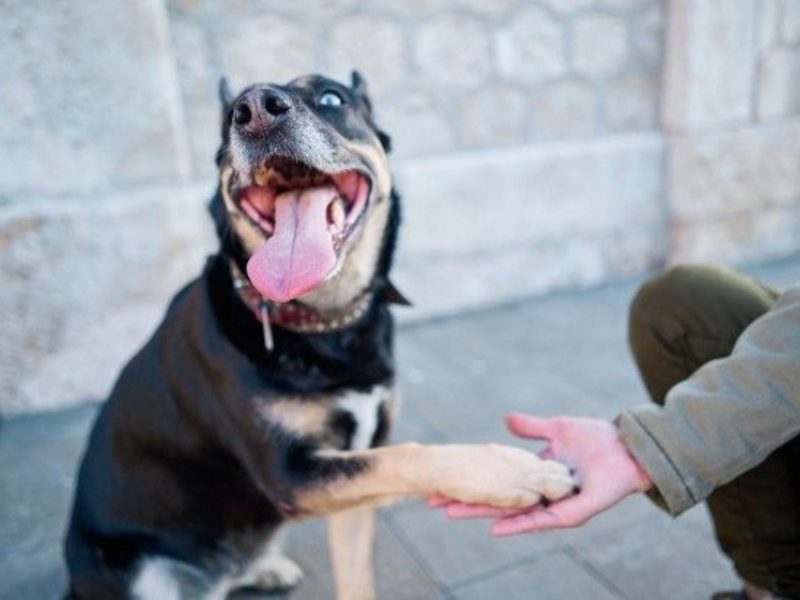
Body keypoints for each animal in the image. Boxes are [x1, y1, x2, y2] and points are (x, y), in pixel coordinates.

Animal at [62, 74, 576, 600]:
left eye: (331, 98)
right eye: (231, 117)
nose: (254, 110)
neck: (328, 325)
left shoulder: (348, 481)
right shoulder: (292, 474)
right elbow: (410, 454)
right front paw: (513, 470)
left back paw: (266, 569)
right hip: (141, 573)